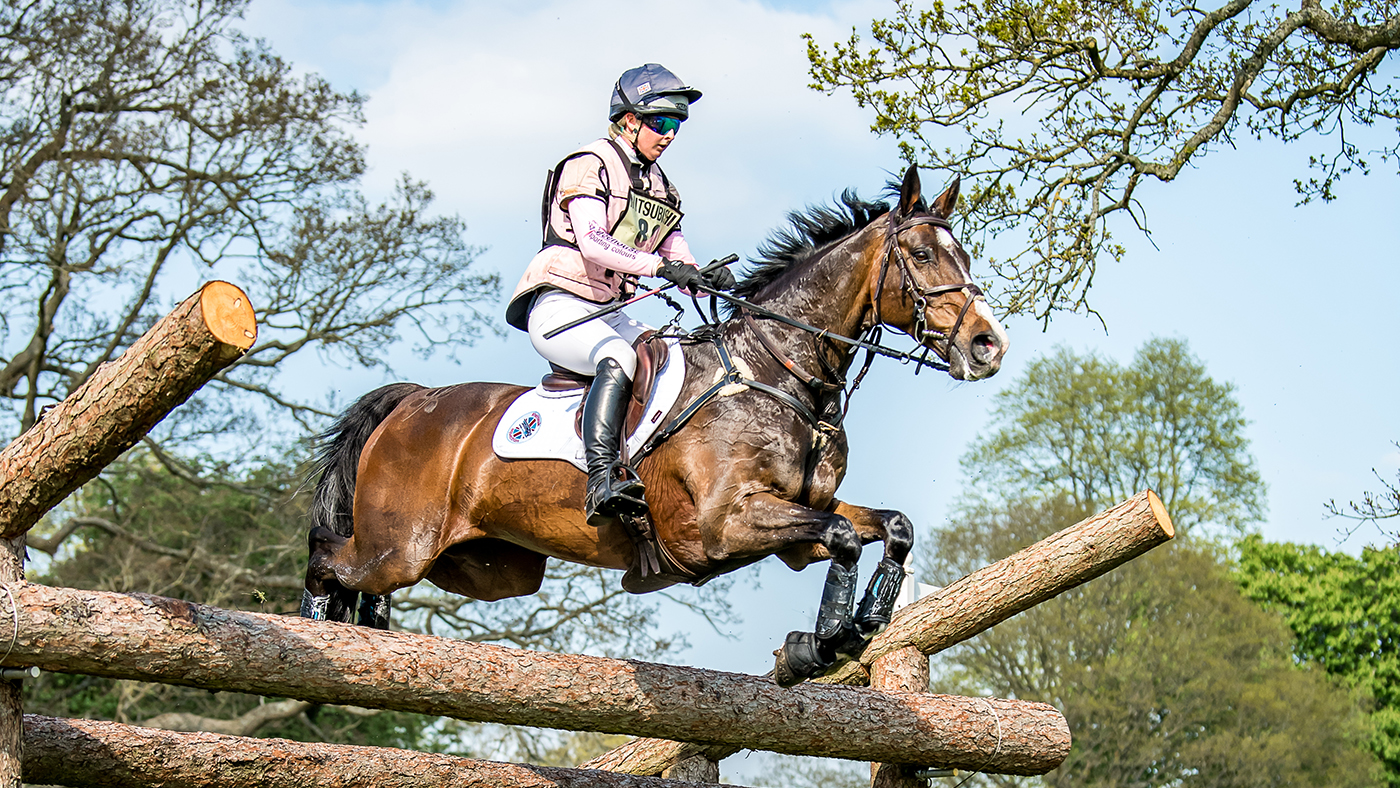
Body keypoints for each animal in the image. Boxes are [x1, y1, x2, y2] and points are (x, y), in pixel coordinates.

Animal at [301, 166, 1009, 685]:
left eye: (967, 256)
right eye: (922, 253)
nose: (988, 345)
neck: (776, 373)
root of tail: (413, 401)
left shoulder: (796, 524)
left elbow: (887, 529)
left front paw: (850, 627)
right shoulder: (724, 525)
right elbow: (841, 538)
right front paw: (828, 637)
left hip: (486, 568)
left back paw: (368, 626)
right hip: (400, 546)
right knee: (328, 556)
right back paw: (317, 624)